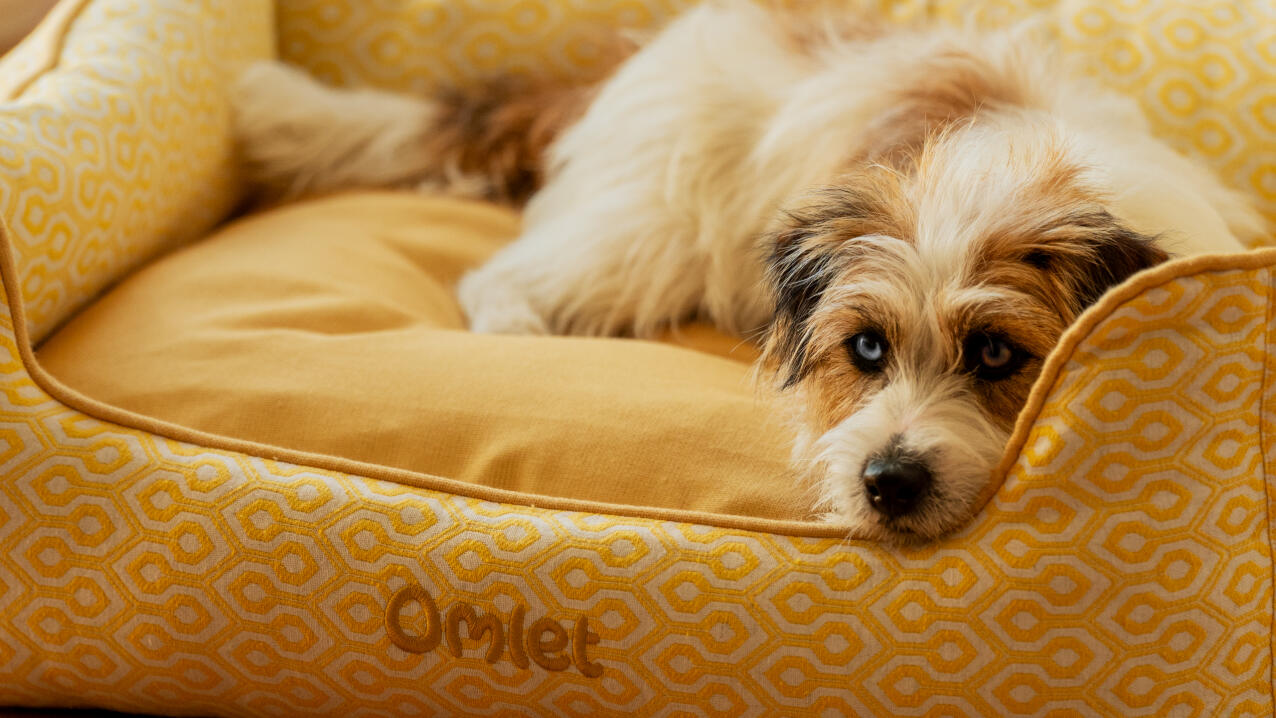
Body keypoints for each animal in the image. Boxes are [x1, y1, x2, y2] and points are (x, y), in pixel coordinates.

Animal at [232, 0, 1265, 540]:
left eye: (999, 357)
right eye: (866, 350)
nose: (887, 481)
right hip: (647, 234)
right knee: (503, 274)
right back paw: (521, 327)